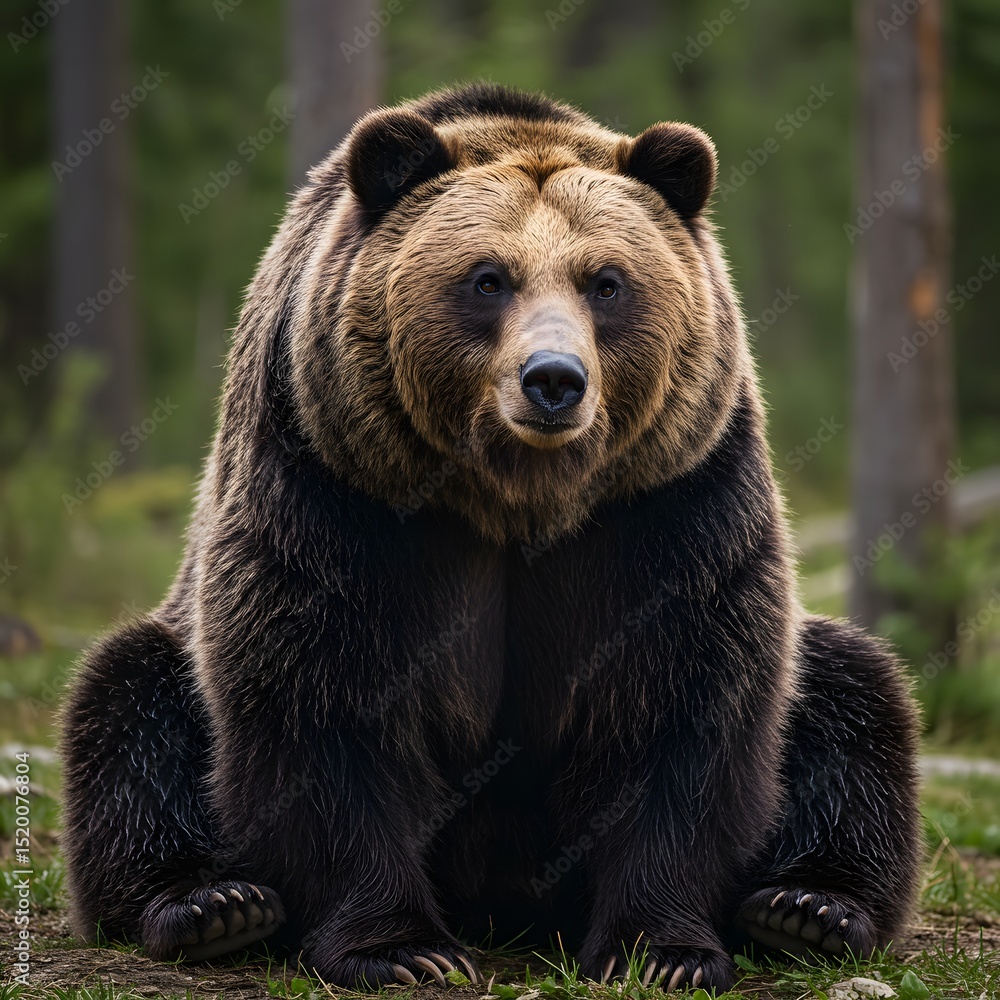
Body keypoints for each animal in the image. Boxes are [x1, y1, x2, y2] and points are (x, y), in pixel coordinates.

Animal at [60, 83, 922, 994]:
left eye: (605, 282)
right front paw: (401, 947)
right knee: (127, 705)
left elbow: (684, 702)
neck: (516, 500)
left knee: (855, 696)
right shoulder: (338, 491)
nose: (553, 380)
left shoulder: (670, 501)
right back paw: (211, 905)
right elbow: (323, 700)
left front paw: (663, 950)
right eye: (487, 279)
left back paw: (809, 907)